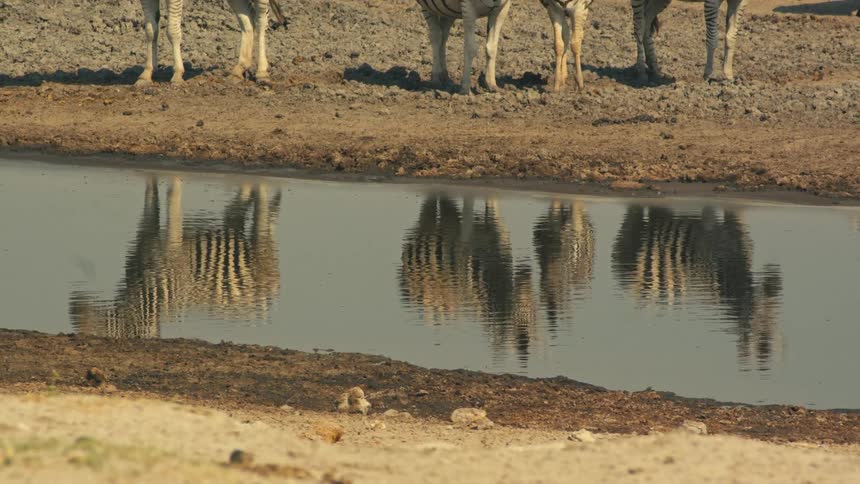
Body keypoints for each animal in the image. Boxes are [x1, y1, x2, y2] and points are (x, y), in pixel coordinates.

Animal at [69, 176, 282, 338]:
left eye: (99, 335)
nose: (72, 310)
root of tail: (267, 300)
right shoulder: (145, 235)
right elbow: (150, 199)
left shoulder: (172, 254)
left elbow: (172, 202)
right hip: (234, 235)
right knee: (239, 208)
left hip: (261, 247)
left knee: (262, 207)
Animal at [136, 0, 280, 85]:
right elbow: (150, 31)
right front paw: (146, 74)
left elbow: (172, 30)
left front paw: (177, 74)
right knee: (248, 19)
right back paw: (238, 70)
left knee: (261, 21)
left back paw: (262, 73)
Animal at [611, 205, 783, 370]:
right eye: (761, 343)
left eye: (773, 318)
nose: (777, 282)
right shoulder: (709, 232)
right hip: (633, 244)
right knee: (633, 221)